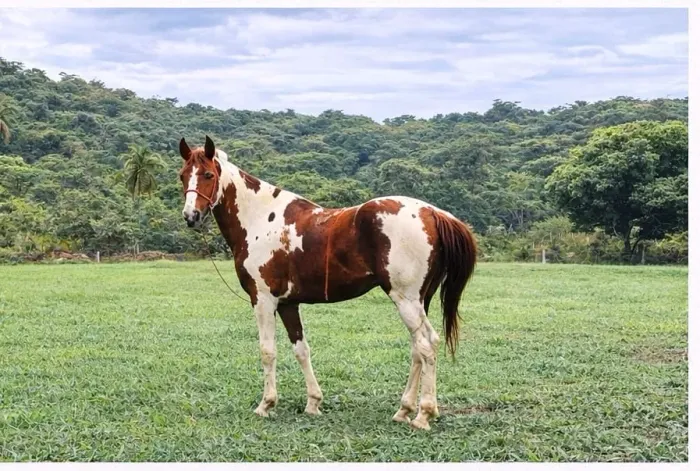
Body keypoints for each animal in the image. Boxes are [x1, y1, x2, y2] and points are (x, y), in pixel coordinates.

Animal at [178, 135, 477, 430]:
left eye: (208, 174)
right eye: (182, 175)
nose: (190, 216)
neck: (260, 219)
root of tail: (433, 213)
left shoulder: (262, 300)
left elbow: (267, 351)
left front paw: (266, 404)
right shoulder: (287, 304)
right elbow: (301, 350)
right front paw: (313, 403)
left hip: (406, 300)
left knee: (427, 346)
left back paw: (423, 414)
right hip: (420, 301)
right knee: (418, 349)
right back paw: (404, 410)